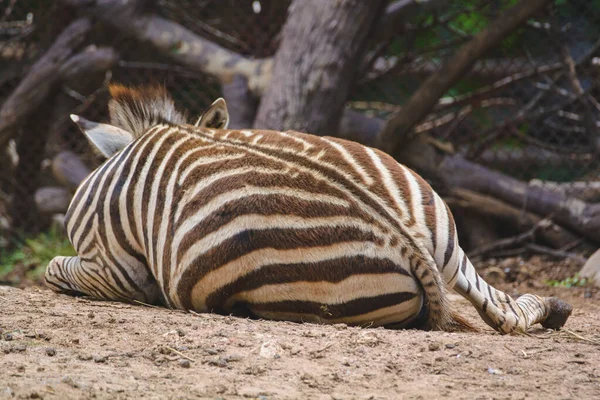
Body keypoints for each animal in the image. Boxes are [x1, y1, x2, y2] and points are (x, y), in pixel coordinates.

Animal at [44, 84, 568, 334]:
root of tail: (405, 240)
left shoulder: (113, 269)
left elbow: (53, 270)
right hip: (449, 244)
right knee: (504, 310)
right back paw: (554, 309)